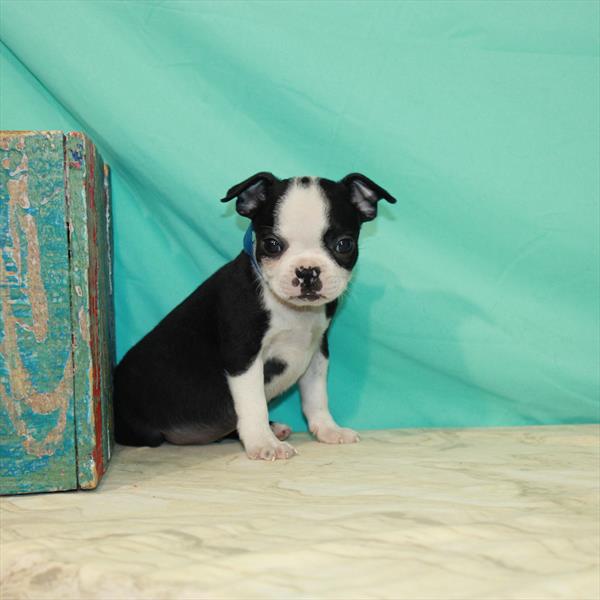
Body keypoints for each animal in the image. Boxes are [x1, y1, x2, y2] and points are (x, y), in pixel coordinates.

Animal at [114, 173, 396, 460]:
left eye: (344, 244)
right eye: (271, 245)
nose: (307, 271)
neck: (292, 311)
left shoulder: (317, 350)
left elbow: (316, 395)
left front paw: (327, 429)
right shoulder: (244, 355)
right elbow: (253, 403)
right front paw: (263, 443)